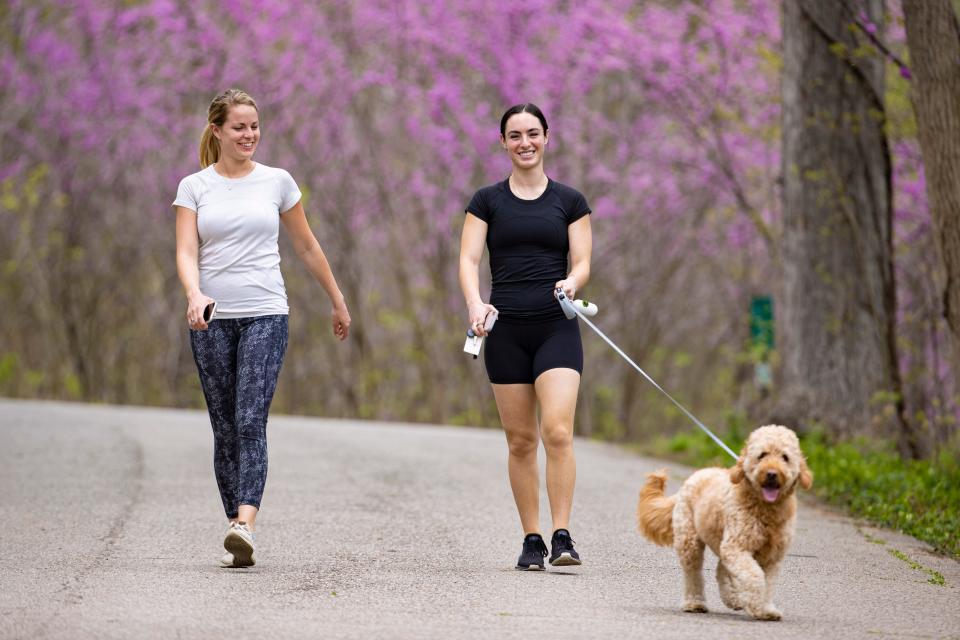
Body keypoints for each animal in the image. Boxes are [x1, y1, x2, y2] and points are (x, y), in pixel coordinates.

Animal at [636, 424, 808, 620]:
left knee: (721, 569)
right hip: (690, 542)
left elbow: (767, 583)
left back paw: (733, 599)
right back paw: (695, 603)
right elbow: (754, 577)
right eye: (762, 455)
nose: (772, 474)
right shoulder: (737, 547)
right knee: (693, 573)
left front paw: (766, 609)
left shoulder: (772, 556)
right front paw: (758, 607)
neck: (765, 509)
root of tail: (696, 475)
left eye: (785, 457)